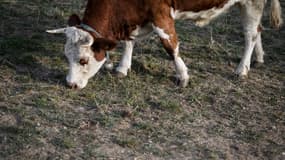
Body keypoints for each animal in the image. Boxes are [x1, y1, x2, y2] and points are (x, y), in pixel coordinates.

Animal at [47, 0, 282, 89]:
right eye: (66, 56)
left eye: (83, 60)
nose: (69, 84)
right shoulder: (134, 19)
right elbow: (129, 43)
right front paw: (123, 67)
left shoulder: (161, 14)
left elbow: (170, 46)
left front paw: (183, 76)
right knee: (257, 30)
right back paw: (258, 58)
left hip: (252, 2)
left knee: (250, 34)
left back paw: (242, 69)